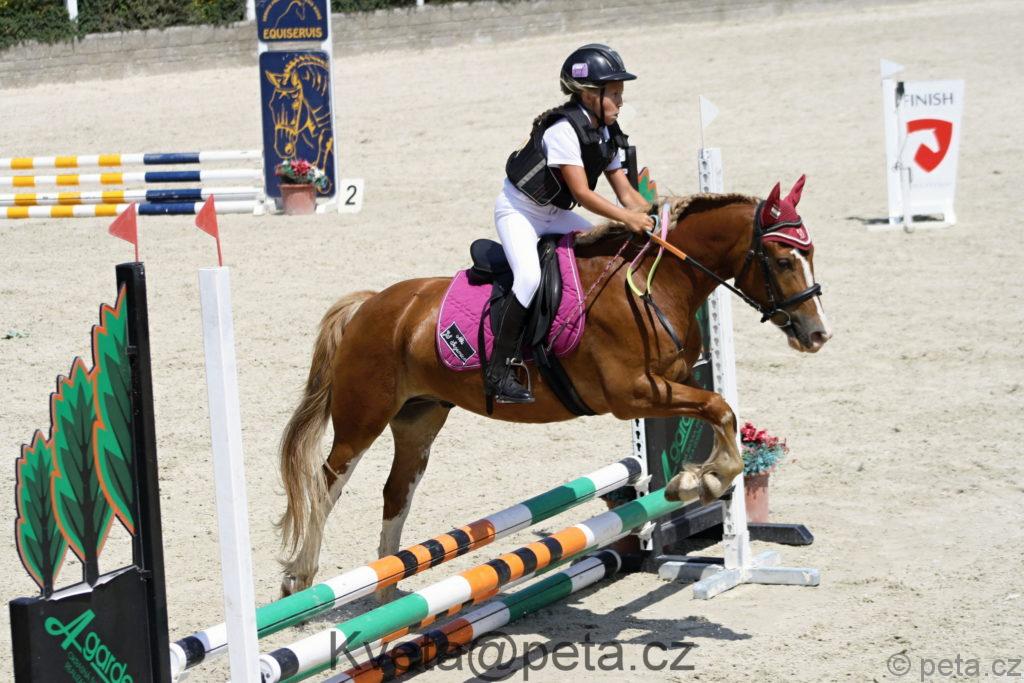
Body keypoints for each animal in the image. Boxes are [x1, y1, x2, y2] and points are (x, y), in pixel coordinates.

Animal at [276, 177, 832, 596]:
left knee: (396, 491)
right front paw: (706, 480)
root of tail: (371, 305)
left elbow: (719, 410)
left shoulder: (672, 381)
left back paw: (389, 591)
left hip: (420, 417)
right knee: (325, 484)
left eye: (811, 254)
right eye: (783, 260)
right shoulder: (632, 393)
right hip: (363, 418)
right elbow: (719, 407)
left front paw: (696, 478)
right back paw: (300, 578)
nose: (817, 334)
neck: (657, 283)